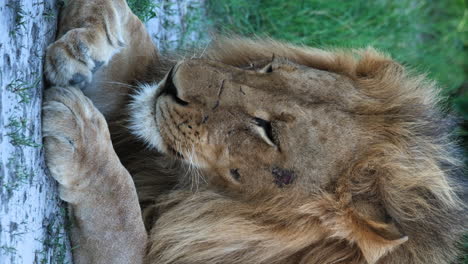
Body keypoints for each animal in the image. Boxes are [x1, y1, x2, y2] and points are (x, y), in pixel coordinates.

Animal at [42, 0, 466, 264]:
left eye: (268, 131)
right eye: (269, 69)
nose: (173, 81)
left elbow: (122, 217)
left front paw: (79, 134)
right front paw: (91, 31)